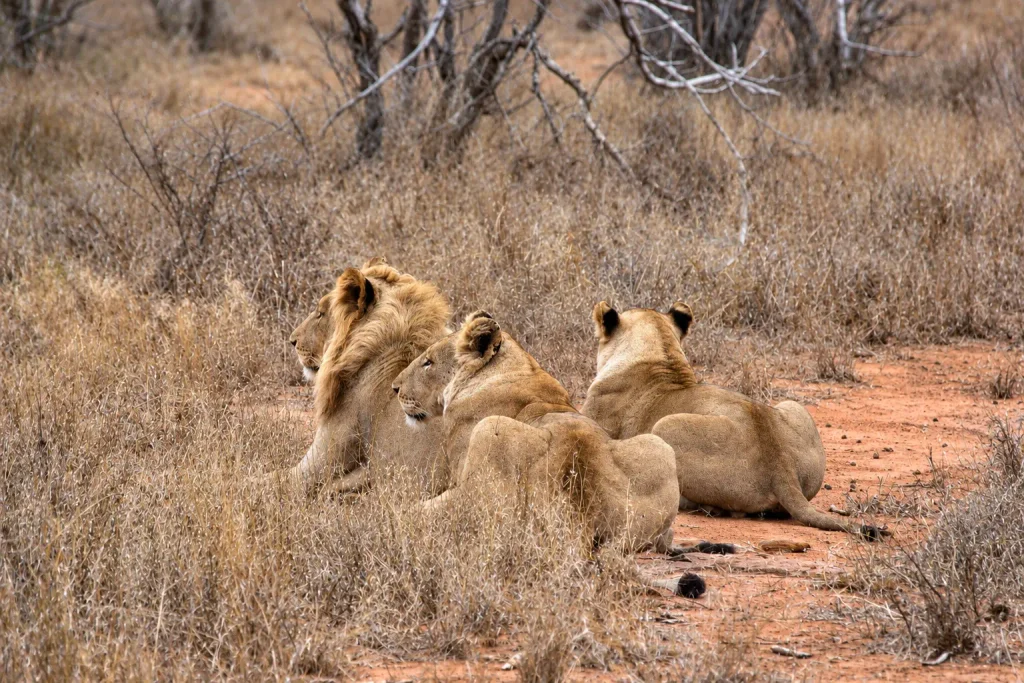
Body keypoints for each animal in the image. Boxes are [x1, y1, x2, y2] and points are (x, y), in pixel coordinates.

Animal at [392, 313, 681, 556]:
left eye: (428, 362)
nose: (395, 388)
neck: (517, 368)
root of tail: (580, 508)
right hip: (660, 446)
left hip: (489, 433)